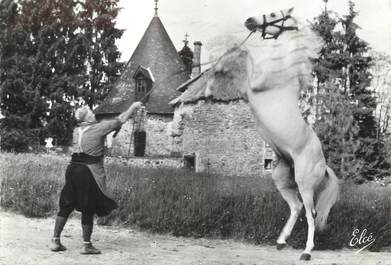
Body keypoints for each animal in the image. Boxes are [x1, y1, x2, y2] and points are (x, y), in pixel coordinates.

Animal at [208, 7, 340, 260]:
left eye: (272, 14)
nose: (249, 21)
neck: (284, 68)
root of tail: (324, 165)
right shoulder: (249, 90)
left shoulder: (254, 84)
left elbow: (246, 56)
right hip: (281, 179)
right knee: (296, 207)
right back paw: (281, 241)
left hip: (305, 184)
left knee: (310, 214)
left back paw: (306, 251)